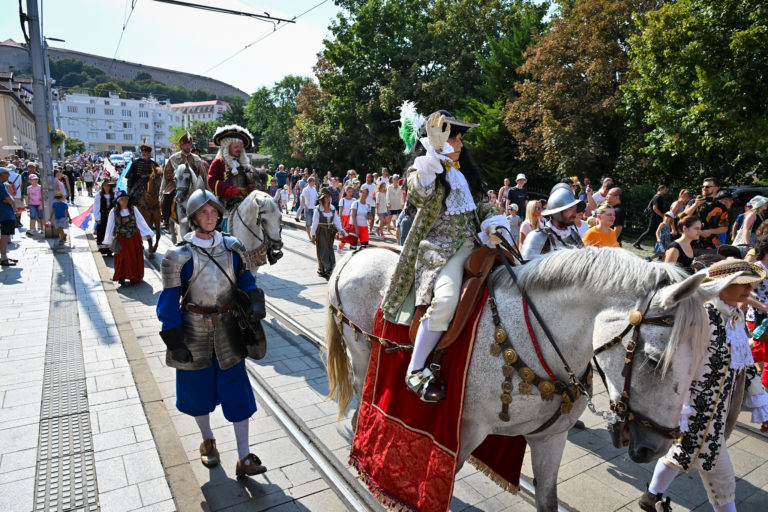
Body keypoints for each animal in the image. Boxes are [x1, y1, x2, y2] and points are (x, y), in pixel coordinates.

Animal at [325, 246, 739, 511]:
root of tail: (355, 254)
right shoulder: (463, 432)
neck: (539, 337)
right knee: (363, 386)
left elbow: (548, 499)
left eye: (703, 360)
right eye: (653, 360)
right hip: (361, 348)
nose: (654, 447)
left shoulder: (550, 438)